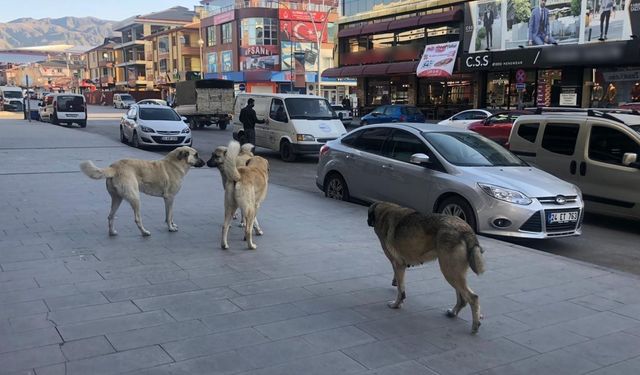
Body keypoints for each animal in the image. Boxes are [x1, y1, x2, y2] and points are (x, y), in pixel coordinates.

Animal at [368, 203, 482, 334]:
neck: (384, 212)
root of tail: (466, 229)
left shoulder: (397, 264)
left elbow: (401, 290)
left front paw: (396, 304)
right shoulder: (400, 265)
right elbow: (400, 284)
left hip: (449, 271)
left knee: (473, 298)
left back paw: (474, 326)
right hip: (455, 273)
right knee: (462, 298)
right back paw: (453, 313)